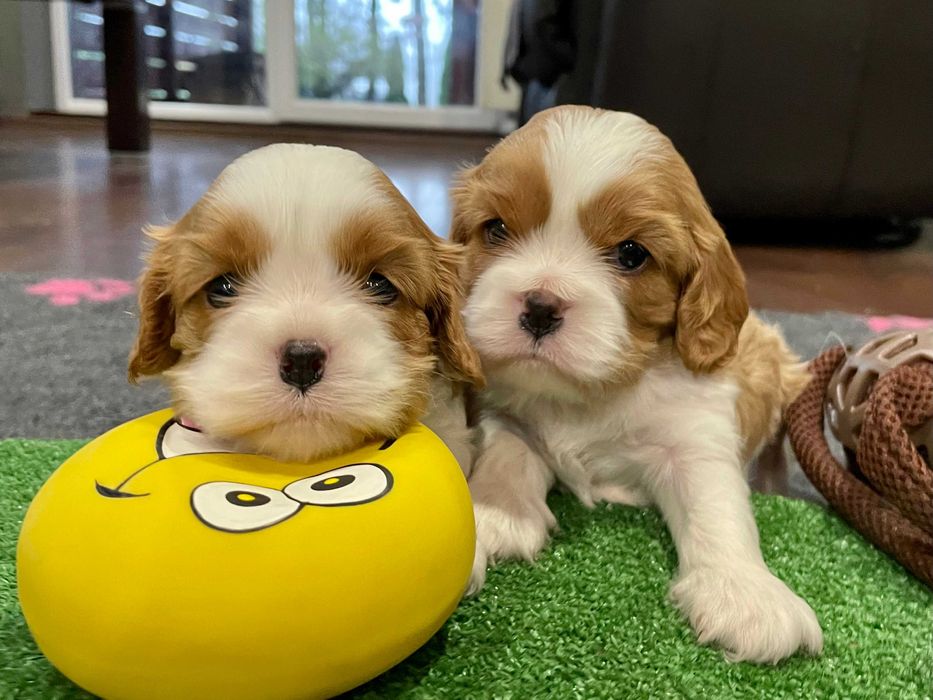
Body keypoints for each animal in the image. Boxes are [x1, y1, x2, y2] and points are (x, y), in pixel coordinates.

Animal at [452, 106, 824, 664]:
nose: (539, 306)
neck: (593, 390)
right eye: (495, 229)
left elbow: (717, 506)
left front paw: (746, 594)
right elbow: (507, 452)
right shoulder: (503, 411)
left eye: (631, 254)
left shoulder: (696, 437)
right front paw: (496, 515)